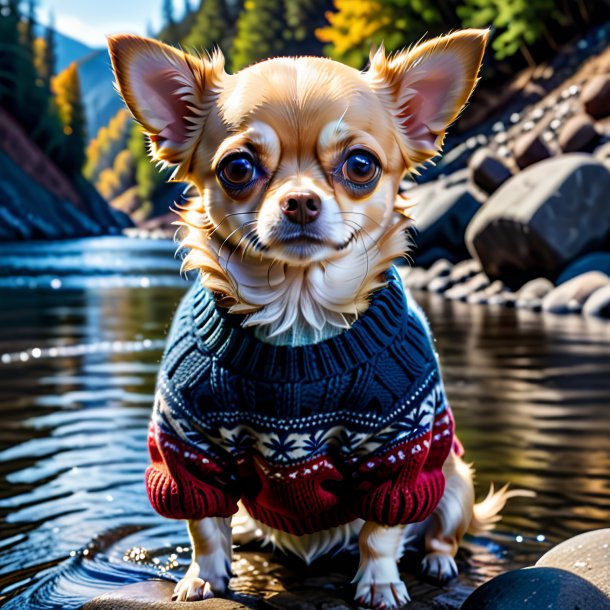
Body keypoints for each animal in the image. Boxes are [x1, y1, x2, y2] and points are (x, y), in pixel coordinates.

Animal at [107, 30, 520, 604]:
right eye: (237, 168)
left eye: (361, 165)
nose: (300, 200)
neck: (297, 313)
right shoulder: (192, 445)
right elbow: (204, 526)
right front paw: (203, 576)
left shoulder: (397, 451)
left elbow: (381, 530)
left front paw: (380, 581)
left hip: (455, 479)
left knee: (442, 530)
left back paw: (438, 561)